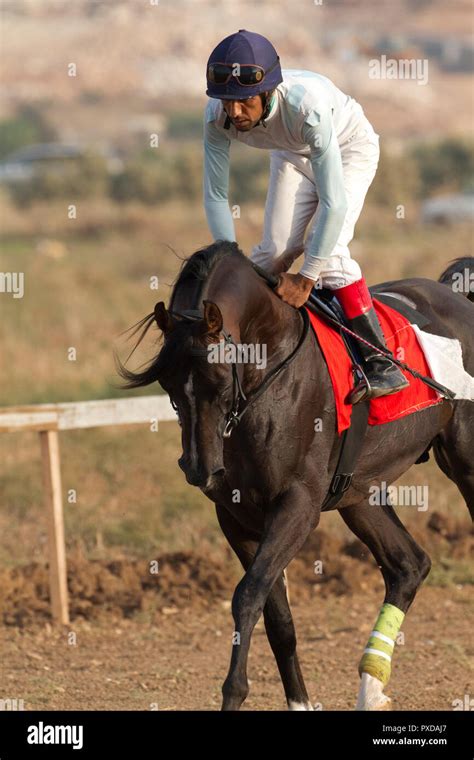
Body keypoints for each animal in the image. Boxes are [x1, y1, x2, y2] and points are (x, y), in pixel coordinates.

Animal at [117, 245, 470, 712]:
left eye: (217, 380)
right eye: (169, 386)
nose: (198, 467)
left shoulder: (297, 505)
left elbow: (247, 595)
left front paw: (234, 692)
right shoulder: (237, 516)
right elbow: (277, 615)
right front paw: (298, 701)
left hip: (466, 464)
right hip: (359, 495)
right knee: (408, 565)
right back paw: (371, 686)